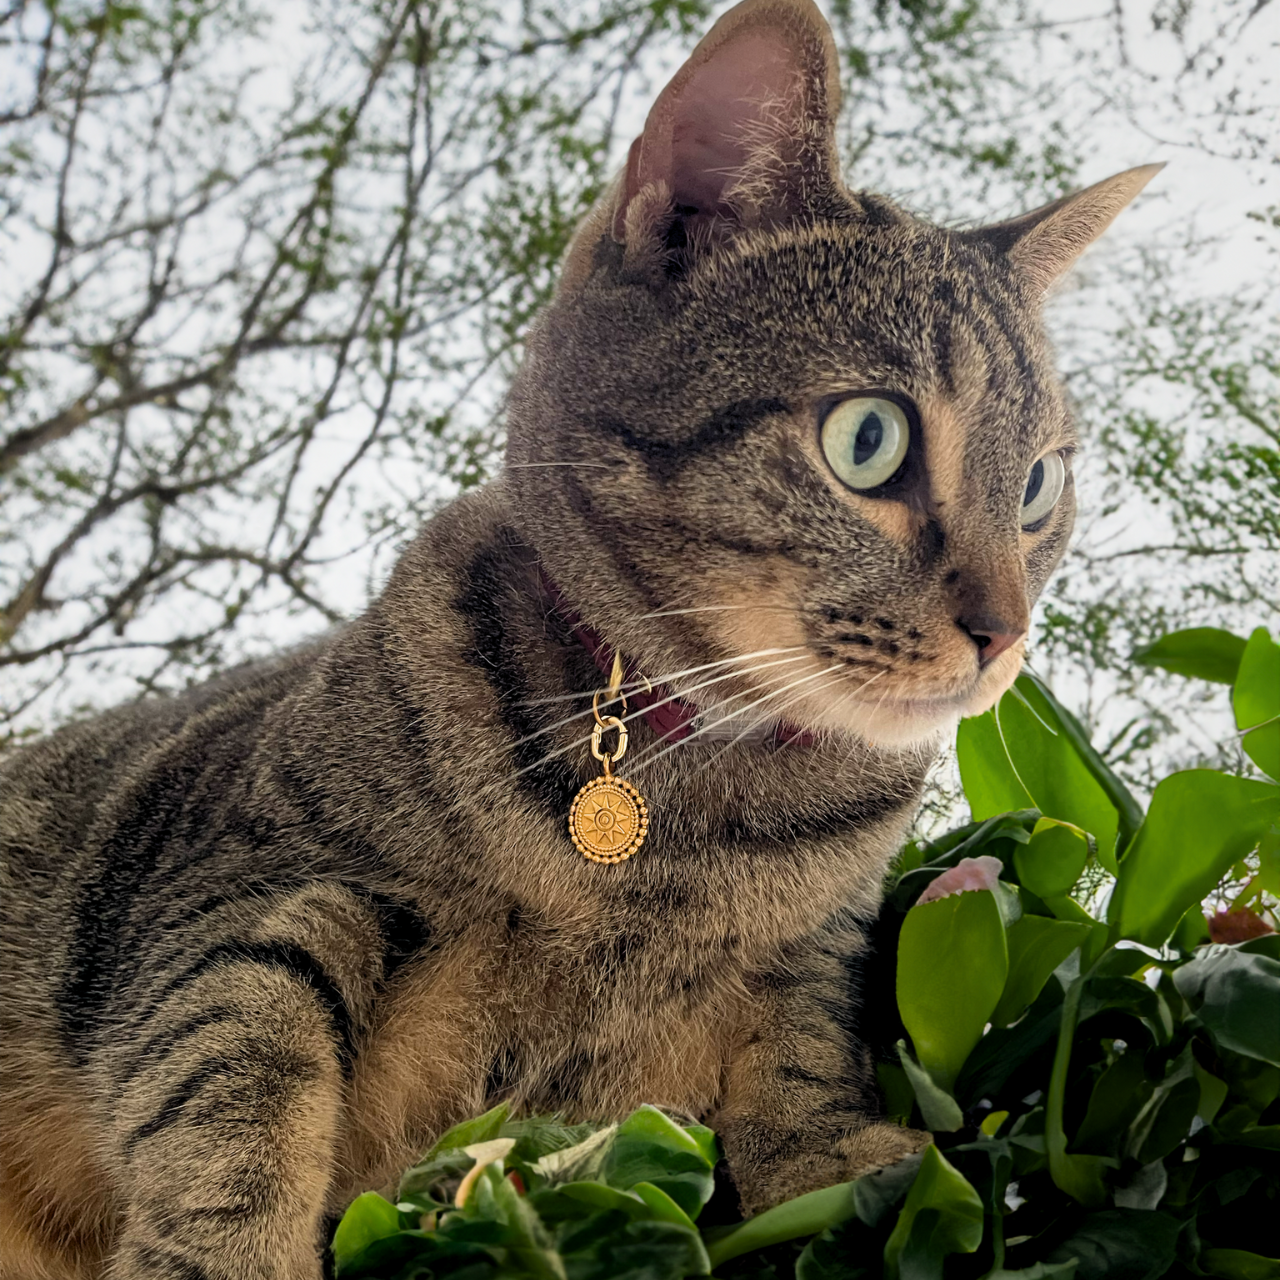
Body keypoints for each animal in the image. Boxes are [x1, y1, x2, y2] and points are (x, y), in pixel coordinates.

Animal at [2, 2, 1162, 1280]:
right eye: (869, 439)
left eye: (1037, 485)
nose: (1004, 635)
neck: (682, 811)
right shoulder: (247, 881)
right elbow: (234, 1075)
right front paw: (228, 1250)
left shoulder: (819, 946)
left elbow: (803, 1041)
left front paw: (837, 1159)